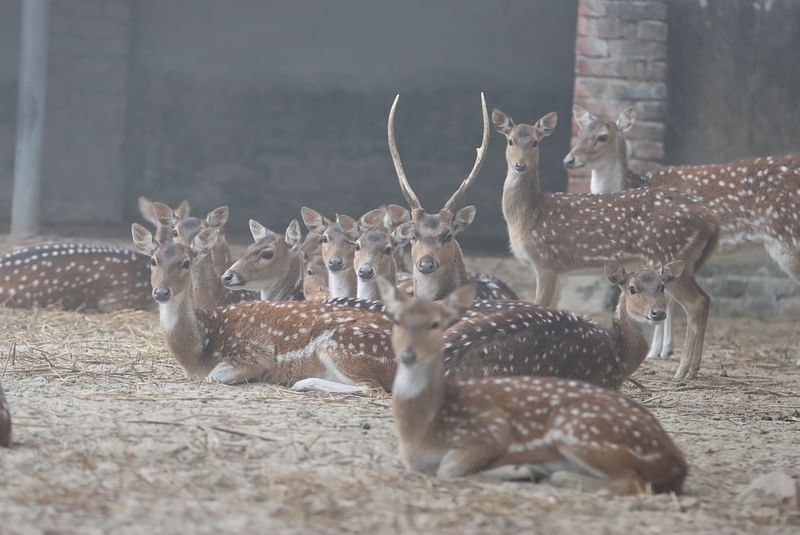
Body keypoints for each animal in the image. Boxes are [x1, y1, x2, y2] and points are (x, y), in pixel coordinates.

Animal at [490, 105, 720, 382]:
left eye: (535, 141)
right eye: (510, 140)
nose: (520, 165)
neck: (530, 215)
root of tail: (711, 219)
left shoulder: (547, 261)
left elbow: (540, 305)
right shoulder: (560, 269)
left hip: (666, 253)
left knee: (696, 303)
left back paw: (683, 370)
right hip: (685, 261)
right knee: (705, 299)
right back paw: (692, 369)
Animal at [564, 102, 800, 358]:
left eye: (602, 136)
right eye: (579, 132)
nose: (569, 159)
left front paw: (656, 351)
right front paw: (664, 349)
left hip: (789, 237)